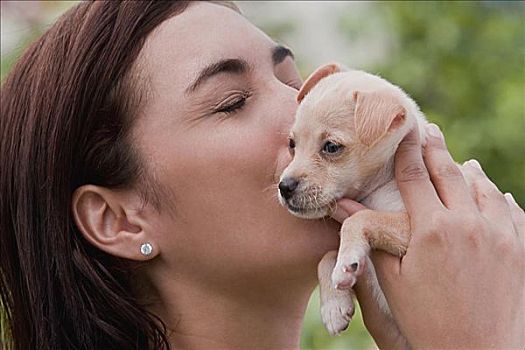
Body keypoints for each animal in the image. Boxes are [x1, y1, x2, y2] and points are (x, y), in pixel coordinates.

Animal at [276, 63, 436, 336]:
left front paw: (346, 261)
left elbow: (360, 218)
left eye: (331, 147)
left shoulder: (415, 228)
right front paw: (333, 306)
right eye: (292, 144)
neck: (378, 187)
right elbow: (327, 255)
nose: (284, 187)